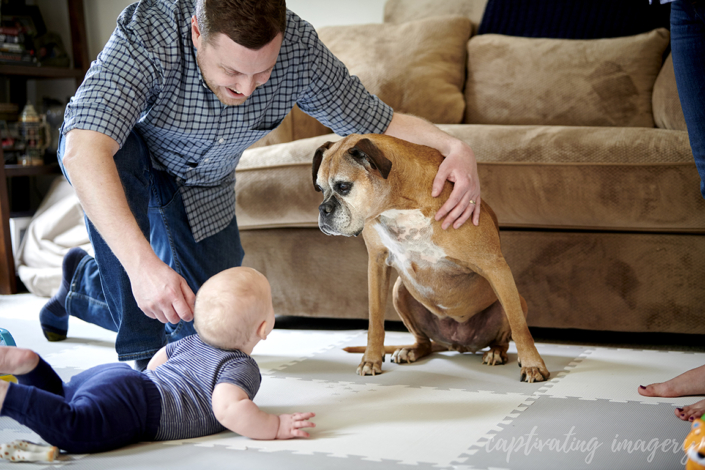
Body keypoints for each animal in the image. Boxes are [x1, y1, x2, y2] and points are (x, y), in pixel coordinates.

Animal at [312, 134, 552, 384]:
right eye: (319, 188)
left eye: (343, 186)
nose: (322, 209)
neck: (399, 204)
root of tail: (457, 344)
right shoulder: (377, 263)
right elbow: (375, 321)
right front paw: (371, 360)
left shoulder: (494, 266)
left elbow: (519, 326)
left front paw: (533, 365)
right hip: (399, 291)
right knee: (424, 342)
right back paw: (410, 351)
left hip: (515, 300)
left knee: (504, 338)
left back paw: (496, 352)